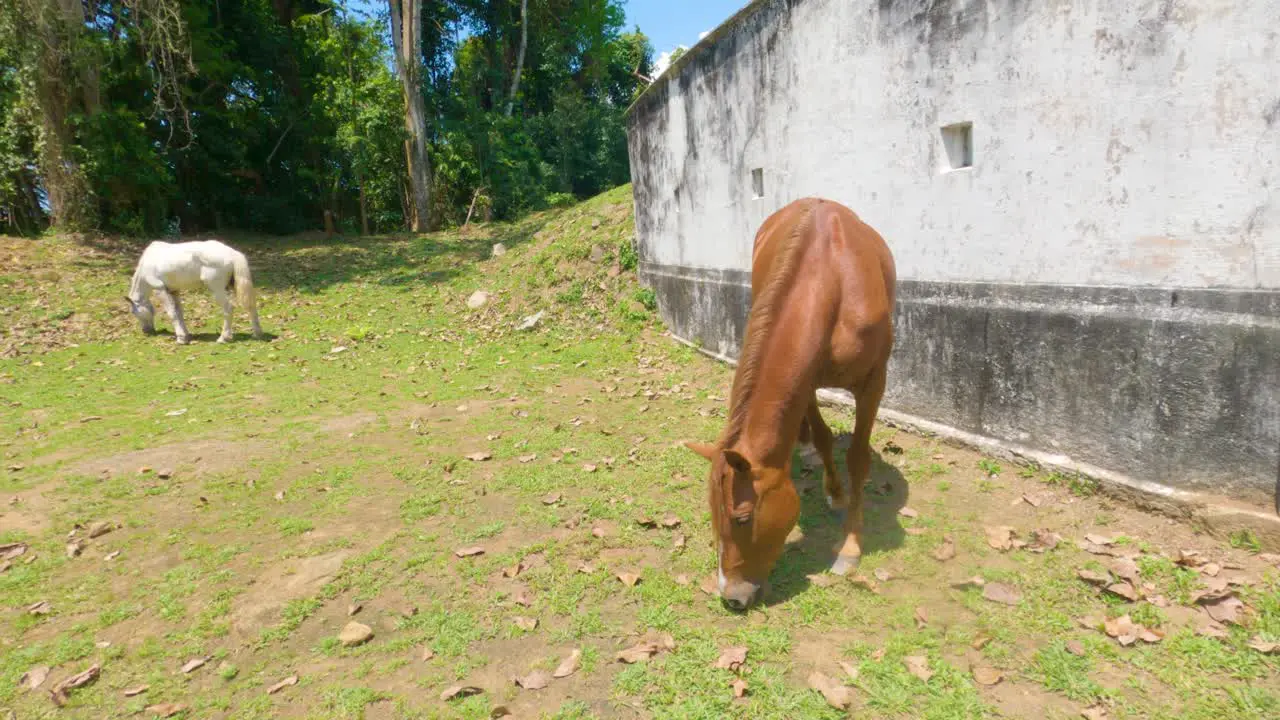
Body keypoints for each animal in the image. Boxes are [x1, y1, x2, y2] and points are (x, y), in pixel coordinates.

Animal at [125, 239, 264, 343]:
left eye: (134, 312)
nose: (146, 331)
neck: (148, 263)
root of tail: (232, 253)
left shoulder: (161, 291)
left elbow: (172, 313)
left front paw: (181, 338)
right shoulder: (174, 291)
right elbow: (179, 312)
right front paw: (186, 335)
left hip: (217, 290)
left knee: (228, 309)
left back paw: (223, 338)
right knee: (251, 306)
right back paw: (257, 334)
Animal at [686, 197, 896, 609]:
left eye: (742, 518)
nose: (731, 596)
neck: (832, 282)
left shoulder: (873, 381)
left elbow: (857, 457)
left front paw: (850, 546)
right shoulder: (806, 380)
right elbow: (824, 436)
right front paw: (834, 490)